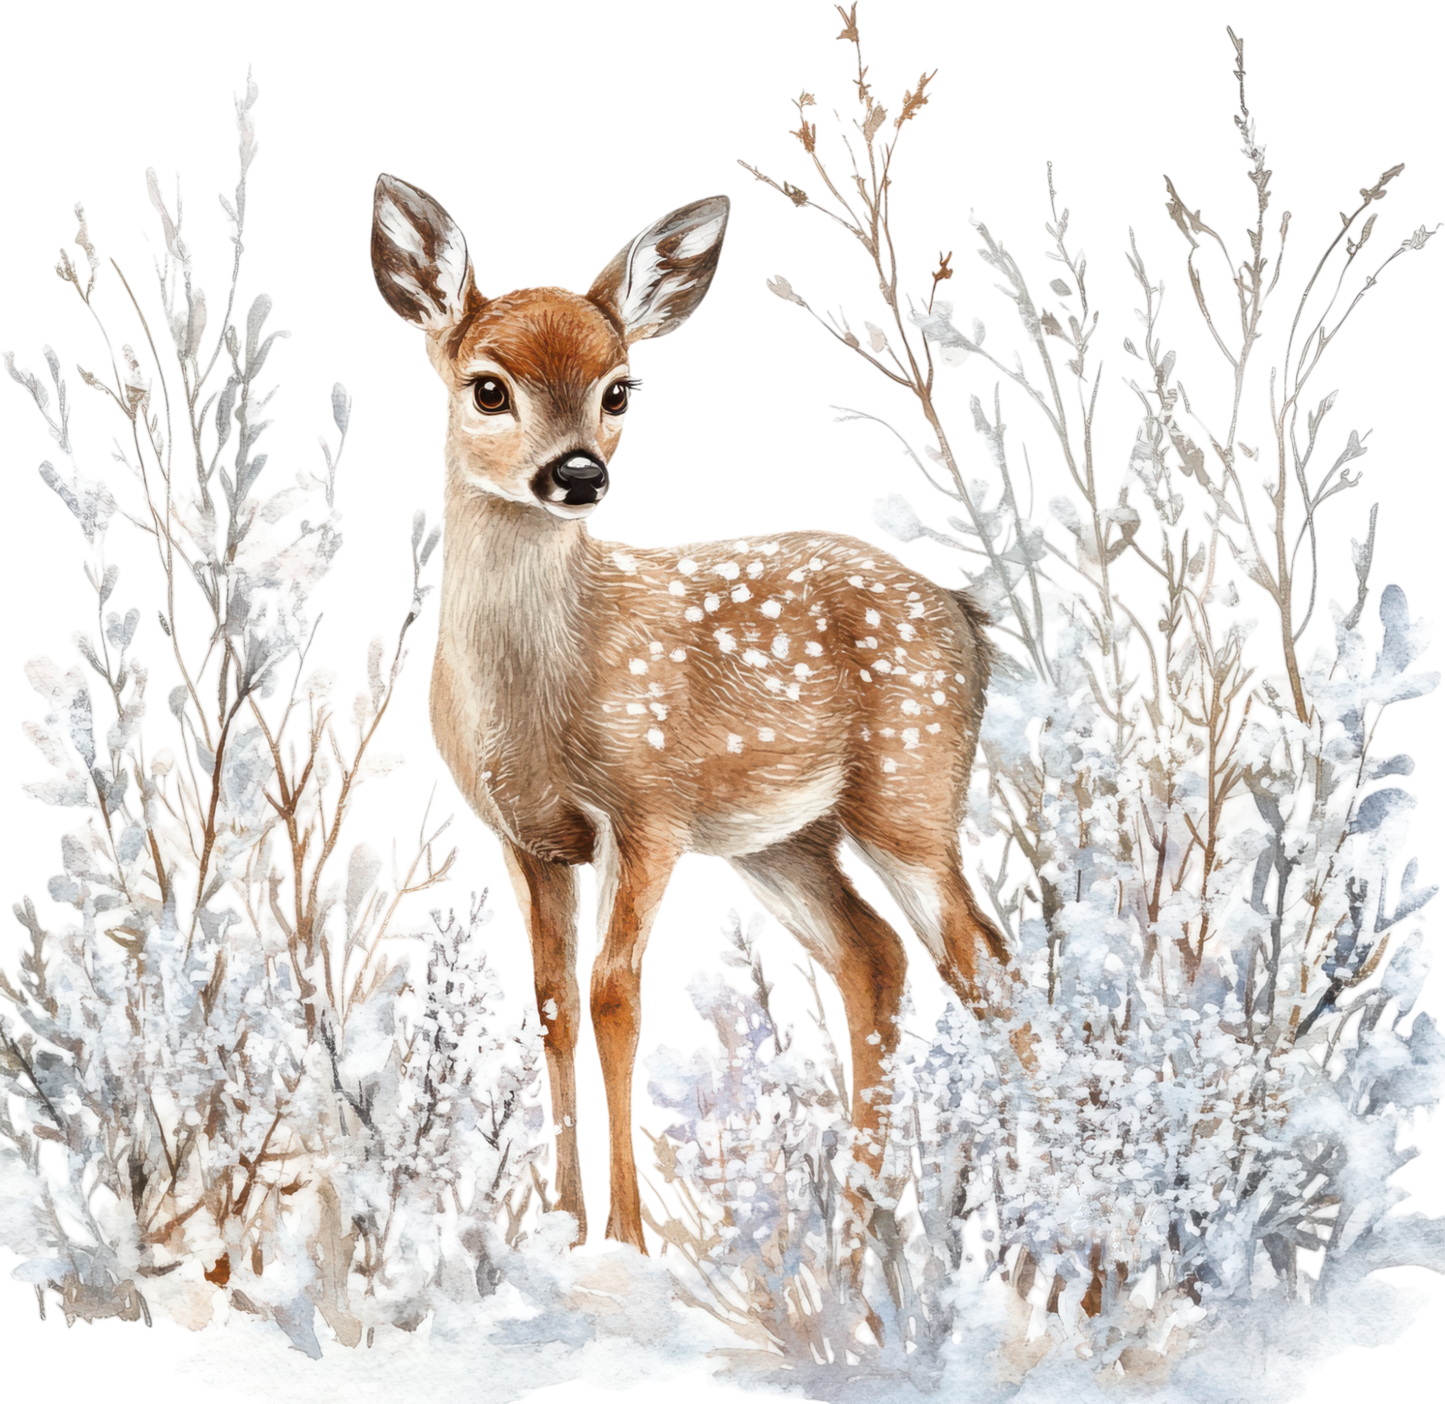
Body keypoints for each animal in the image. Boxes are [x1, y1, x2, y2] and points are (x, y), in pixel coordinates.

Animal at [367, 171, 1009, 1335]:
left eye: (621, 389)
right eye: (488, 389)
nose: (576, 475)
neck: (544, 689)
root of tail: (967, 622)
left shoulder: (646, 810)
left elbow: (617, 994)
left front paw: (624, 1242)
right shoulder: (525, 837)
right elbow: (552, 999)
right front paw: (560, 1228)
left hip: (908, 792)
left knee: (982, 961)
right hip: (782, 840)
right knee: (873, 957)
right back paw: (858, 1241)